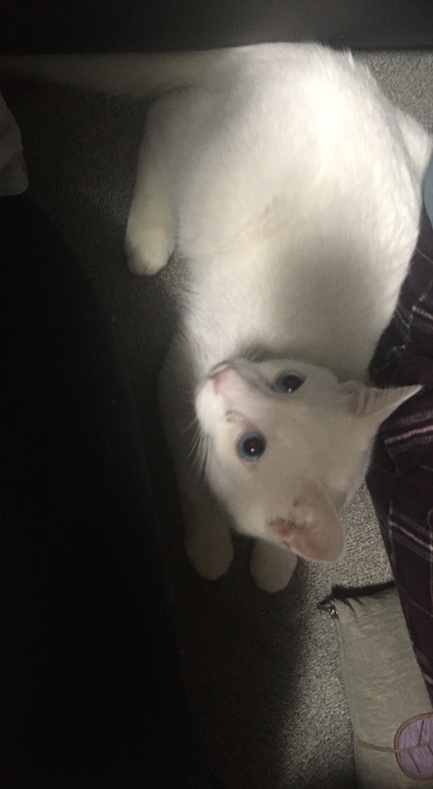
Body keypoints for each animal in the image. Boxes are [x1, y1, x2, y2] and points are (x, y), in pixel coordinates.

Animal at [2, 43, 431, 591]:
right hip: (208, 174)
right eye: (288, 381)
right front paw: (209, 547)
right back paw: (148, 239)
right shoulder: (177, 382)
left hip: (416, 145)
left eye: (252, 447)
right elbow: (194, 483)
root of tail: (282, 50)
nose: (224, 376)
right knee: (161, 120)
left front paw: (275, 563)